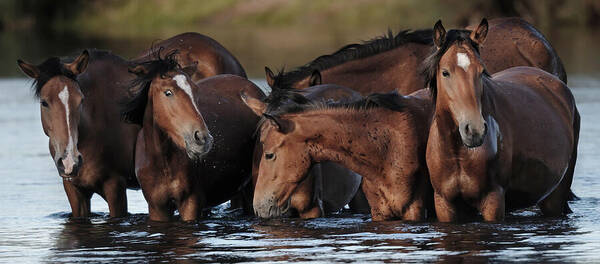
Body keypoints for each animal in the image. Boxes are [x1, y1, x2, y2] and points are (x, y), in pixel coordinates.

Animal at [120, 51, 264, 221]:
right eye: (168, 92)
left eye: (195, 91)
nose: (203, 139)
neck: (163, 161)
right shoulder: (157, 207)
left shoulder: (191, 203)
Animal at [424, 18, 580, 222]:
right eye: (445, 72)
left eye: (481, 71)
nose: (474, 130)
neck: (457, 153)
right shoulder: (444, 204)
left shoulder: (493, 200)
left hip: (555, 198)